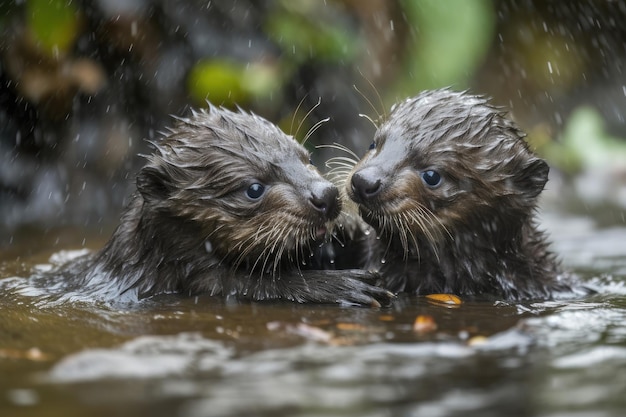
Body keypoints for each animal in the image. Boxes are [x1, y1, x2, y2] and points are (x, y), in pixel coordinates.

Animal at [52, 104, 390, 306]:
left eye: (307, 159)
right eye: (253, 189)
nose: (326, 195)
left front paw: (346, 228)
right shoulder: (197, 280)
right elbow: (254, 285)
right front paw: (344, 287)